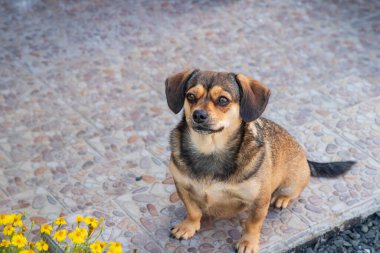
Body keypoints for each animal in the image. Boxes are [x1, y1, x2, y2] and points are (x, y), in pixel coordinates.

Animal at [165, 69, 354, 253]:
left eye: (223, 100)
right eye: (190, 96)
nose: (198, 115)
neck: (209, 149)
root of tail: (305, 158)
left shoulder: (259, 201)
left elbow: (252, 224)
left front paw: (248, 243)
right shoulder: (182, 186)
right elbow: (193, 211)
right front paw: (188, 227)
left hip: (292, 184)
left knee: (292, 193)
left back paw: (281, 198)